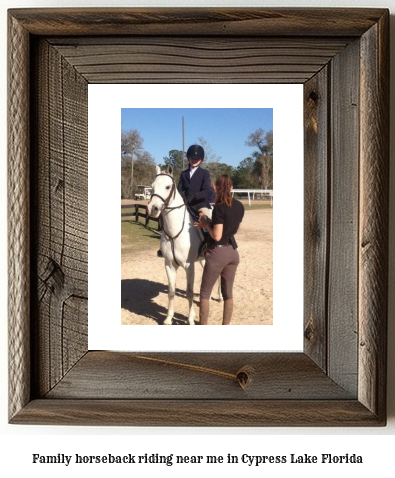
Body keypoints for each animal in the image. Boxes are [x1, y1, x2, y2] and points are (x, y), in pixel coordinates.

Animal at [148, 164, 218, 324]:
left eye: (167, 187)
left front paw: (190, 319)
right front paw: (168, 318)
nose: (152, 209)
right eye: (152, 187)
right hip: (204, 259)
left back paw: (221, 298)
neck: (174, 232)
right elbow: (171, 291)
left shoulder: (188, 265)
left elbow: (189, 292)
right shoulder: (169, 264)